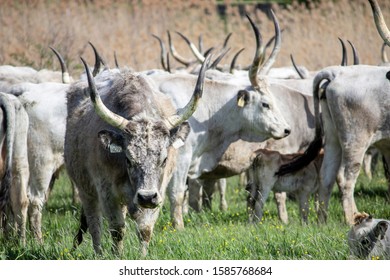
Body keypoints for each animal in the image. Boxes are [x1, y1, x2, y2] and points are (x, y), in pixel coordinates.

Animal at [65, 57, 209, 256]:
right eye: (128, 159)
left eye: (164, 160)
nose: (146, 197)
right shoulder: (106, 191)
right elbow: (117, 229)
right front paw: (117, 256)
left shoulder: (158, 192)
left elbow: (145, 230)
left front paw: (142, 256)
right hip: (85, 189)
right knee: (95, 224)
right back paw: (98, 253)